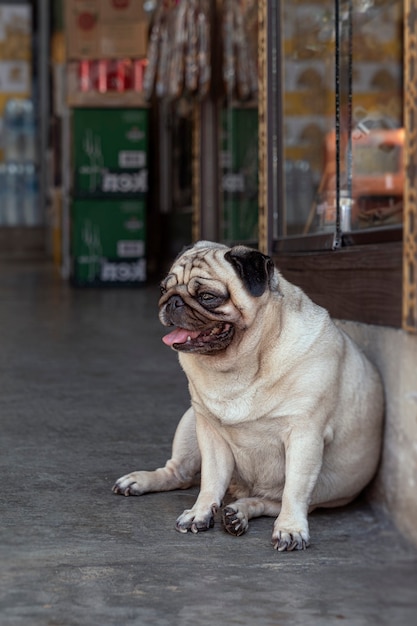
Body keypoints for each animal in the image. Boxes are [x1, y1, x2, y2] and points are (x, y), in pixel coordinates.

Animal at [111, 241, 384, 548]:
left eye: (207, 297)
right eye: (162, 289)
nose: (172, 301)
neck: (241, 365)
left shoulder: (305, 436)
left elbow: (294, 490)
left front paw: (291, 528)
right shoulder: (210, 433)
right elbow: (210, 481)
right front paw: (199, 512)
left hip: (316, 495)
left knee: (269, 500)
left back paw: (239, 513)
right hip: (190, 421)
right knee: (180, 474)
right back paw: (144, 481)